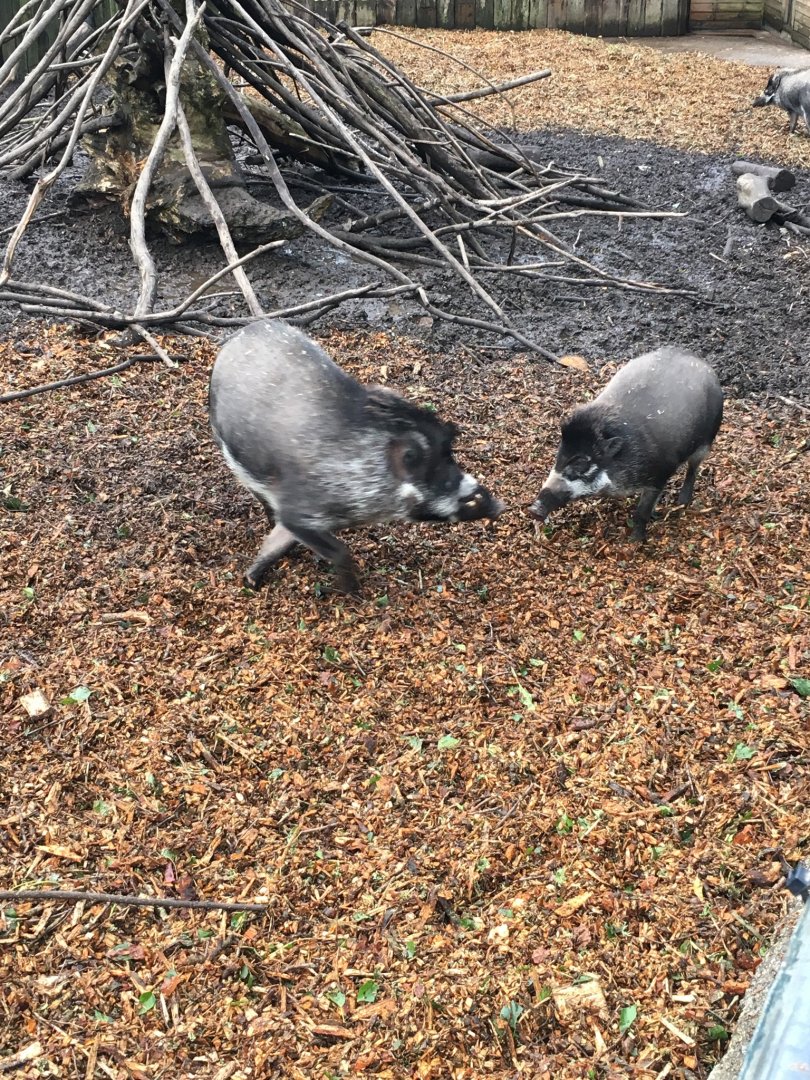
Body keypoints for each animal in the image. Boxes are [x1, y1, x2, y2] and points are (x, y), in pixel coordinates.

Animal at [209, 319, 504, 594]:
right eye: (443, 480)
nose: (500, 505)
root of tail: (245, 330)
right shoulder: (297, 513)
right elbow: (336, 550)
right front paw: (351, 593)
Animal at [529, 347, 723, 542]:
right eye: (559, 455)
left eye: (580, 462)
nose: (533, 510)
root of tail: (700, 361)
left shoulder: (660, 474)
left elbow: (642, 512)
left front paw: (635, 541)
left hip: (707, 441)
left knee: (693, 469)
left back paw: (682, 502)